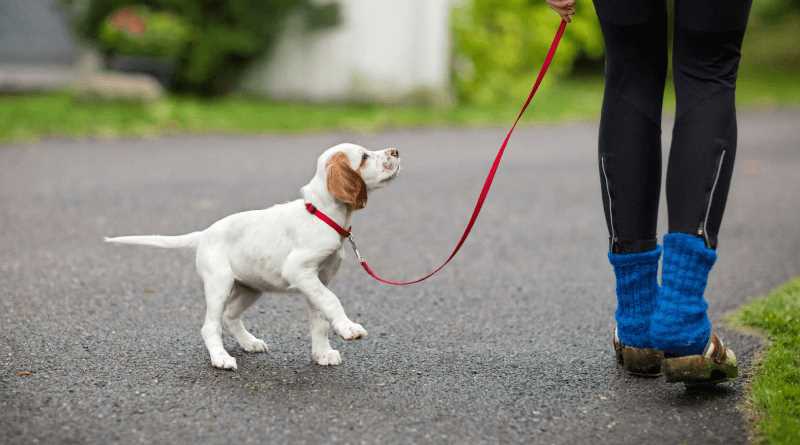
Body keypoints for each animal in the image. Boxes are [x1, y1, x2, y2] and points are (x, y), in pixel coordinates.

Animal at [108, 144, 400, 370]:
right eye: (364, 157)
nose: (396, 151)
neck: (322, 214)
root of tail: (204, 234)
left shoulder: (318, 280)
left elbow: (320, 319)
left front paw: (322, 353)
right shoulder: (299, 270)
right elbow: (332, 301)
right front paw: (349, 328)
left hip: (251, 287)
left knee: (230, 316)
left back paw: (249, 342)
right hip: (219, 283)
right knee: (210, 326)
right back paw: (221, 358)